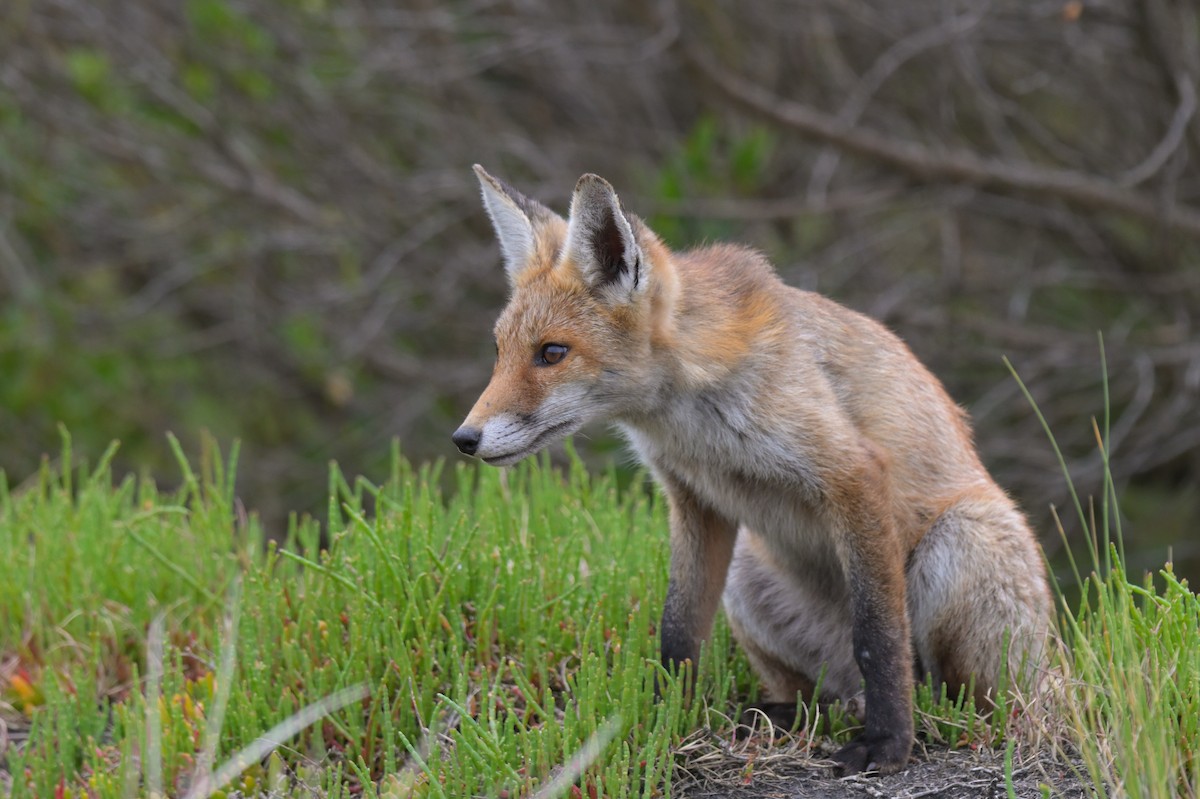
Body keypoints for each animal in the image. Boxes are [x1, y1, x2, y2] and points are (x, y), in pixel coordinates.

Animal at [452, 165, 1054, 775]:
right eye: (500, 351)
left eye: (552, 353)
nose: (464, 439)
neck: (692, 424)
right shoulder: (694, 500)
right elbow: (678, 630)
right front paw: (662, 716)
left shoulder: (852, 473)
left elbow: (878, 635)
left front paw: (889, 743)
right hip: (748, 574)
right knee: (828, 693)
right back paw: (787, 714)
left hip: (961, 544)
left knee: (957, 696)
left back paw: (924, 716)